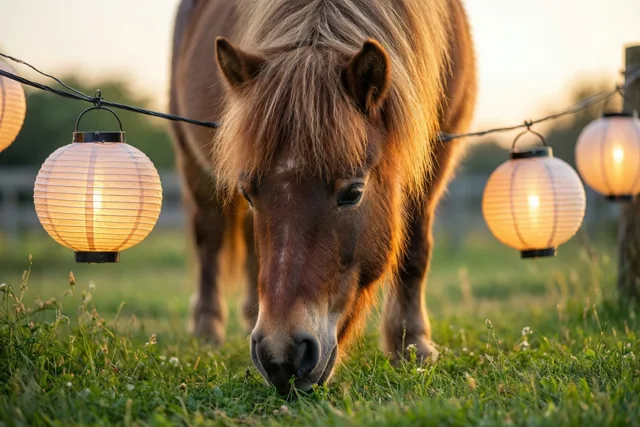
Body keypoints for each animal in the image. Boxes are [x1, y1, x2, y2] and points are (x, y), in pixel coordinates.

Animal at [169, 0, 476, 394]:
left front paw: (412, 345)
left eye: (353, 192)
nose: (280, 356)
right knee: (208, 237)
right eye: (248, 195)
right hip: (191, 160)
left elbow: (415, 251)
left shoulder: (438, 151)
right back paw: (207, 328)